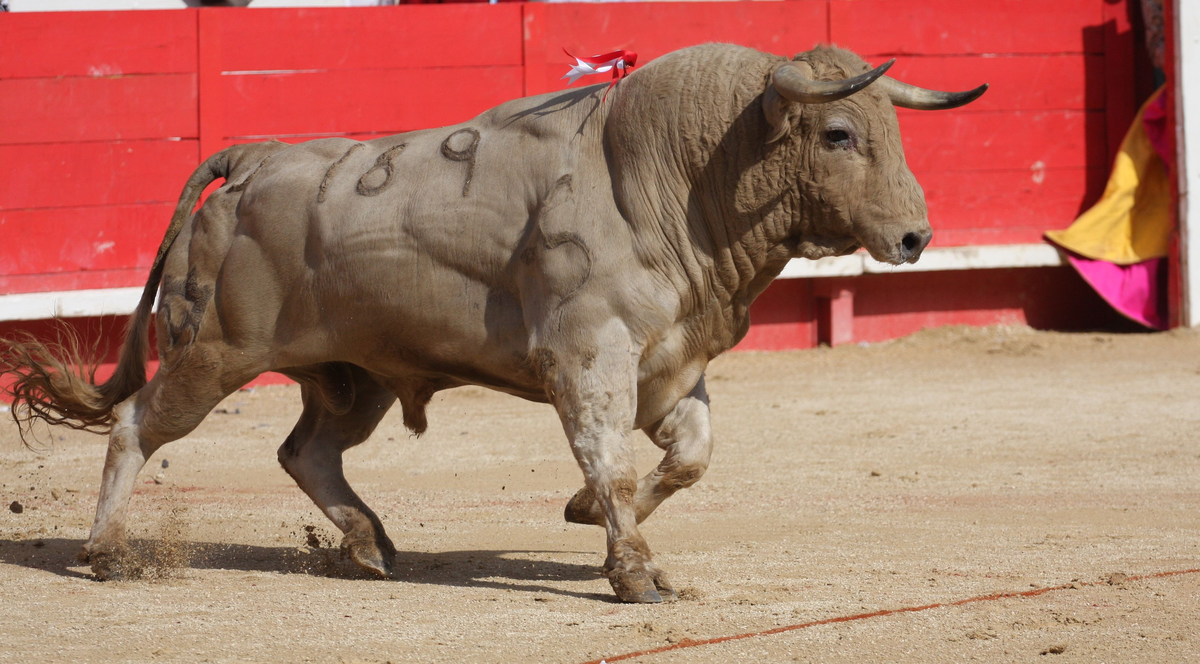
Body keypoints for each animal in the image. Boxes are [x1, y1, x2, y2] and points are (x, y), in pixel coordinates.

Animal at [2, 41, 984, 600]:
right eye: (839, 135)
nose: (915, 236)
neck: (662, 177)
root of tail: (256, 158)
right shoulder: (587, 356)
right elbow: (613, 458)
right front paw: (635, 573)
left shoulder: (672, 361)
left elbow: (687, 457)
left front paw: (588, 516)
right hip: (215, 351)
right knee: (139, 422)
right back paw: (106, 552)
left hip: (350, 376)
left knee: (306, 451)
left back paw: (369, 546)